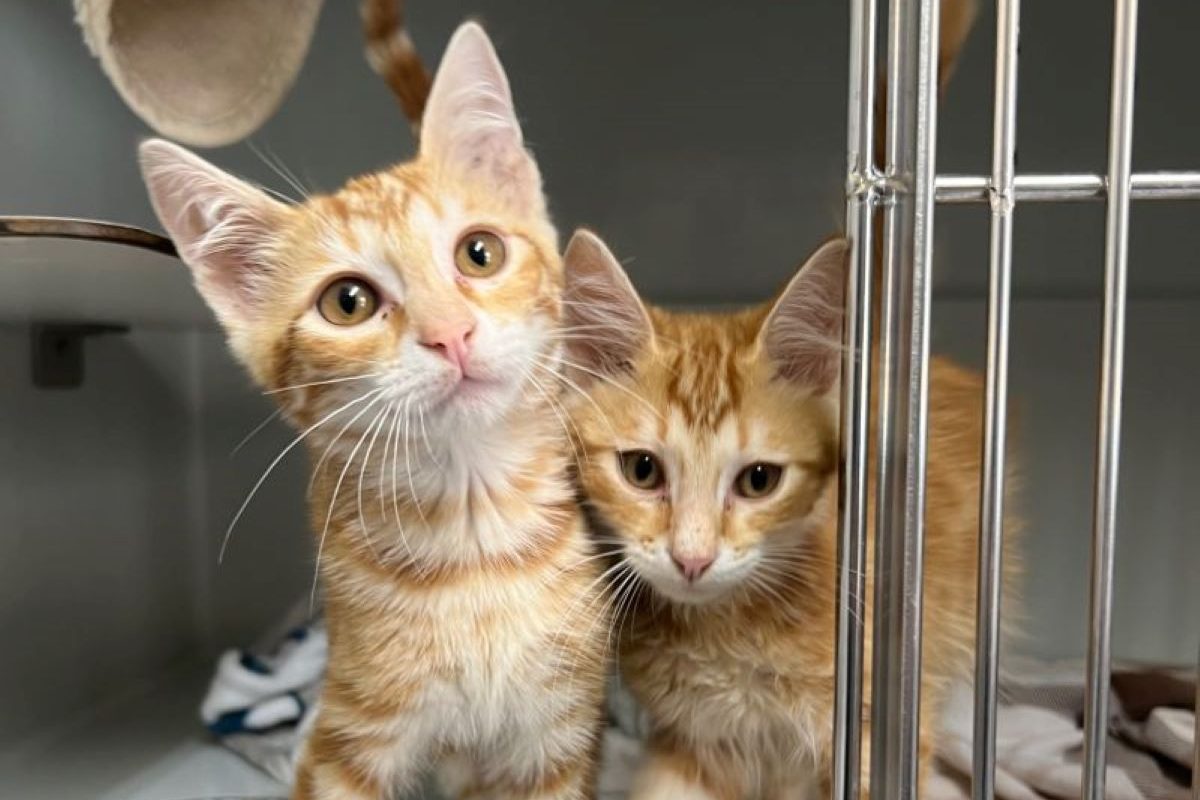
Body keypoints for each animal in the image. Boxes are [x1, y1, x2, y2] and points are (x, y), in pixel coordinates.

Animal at [141, 21, 609, 796]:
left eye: (480, 254)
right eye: (348, 301)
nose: (451, 333)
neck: (475, 541)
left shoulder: (559, 736)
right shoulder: (348, 734)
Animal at [559, 226, 1012, 800]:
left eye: (759, 480)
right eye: (642, 470)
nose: (692, 560)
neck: (730, 630)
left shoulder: (866, 732)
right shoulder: (698, 741)